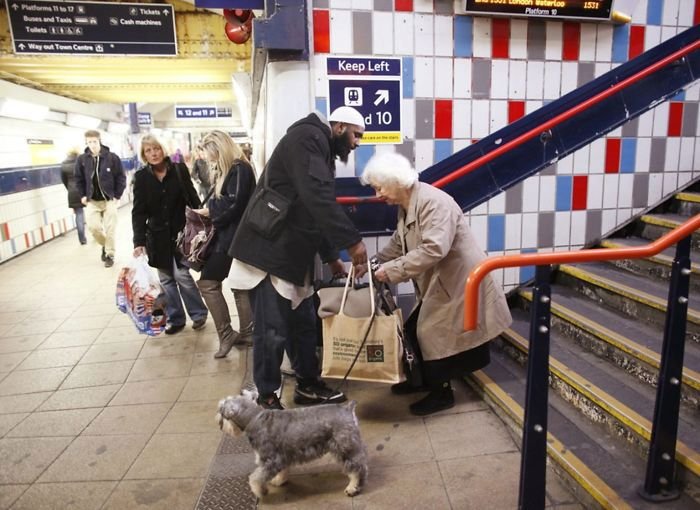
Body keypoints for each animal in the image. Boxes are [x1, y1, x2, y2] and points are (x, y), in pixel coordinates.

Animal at [215, 390, 370, 498]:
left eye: (221, 409)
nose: (218, 421)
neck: (255, 418)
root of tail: (347, 409)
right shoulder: (282, 457)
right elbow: (282, 471)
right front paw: (278, 480)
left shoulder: (270, 461)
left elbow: (256, 478)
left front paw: (259, 491)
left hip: (344, 448)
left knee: (357, 469)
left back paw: (352, 488)